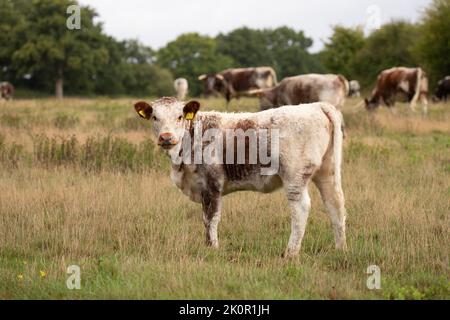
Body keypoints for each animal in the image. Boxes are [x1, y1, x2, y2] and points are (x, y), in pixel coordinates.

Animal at [132, 97, 346, 258]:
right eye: (155, 117)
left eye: (179, 116)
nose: (166, 137)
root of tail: (317, 105)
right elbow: (205, 218)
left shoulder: (212, 183)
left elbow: (211, 218)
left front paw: (212, 248)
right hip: (327, 172)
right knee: (335, 204)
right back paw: (339, 249)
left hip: (295, 176)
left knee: (301, 209)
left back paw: (290, 253)